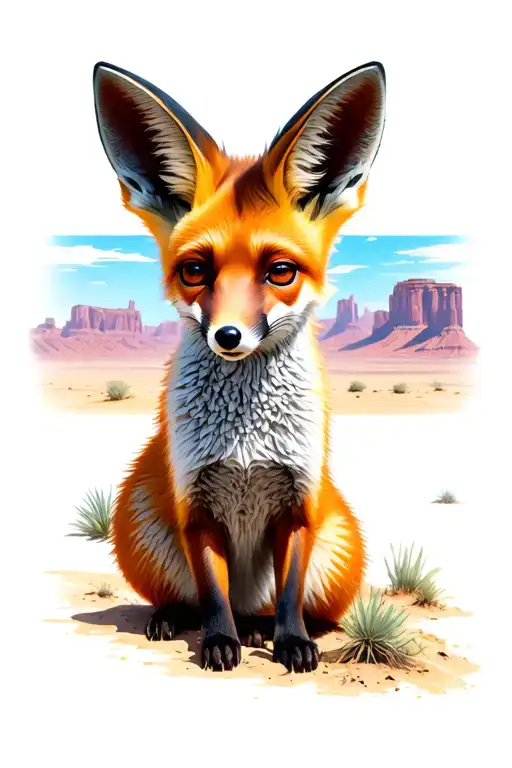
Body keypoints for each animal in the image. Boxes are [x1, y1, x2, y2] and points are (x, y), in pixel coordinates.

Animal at [93, 60, 386, 673]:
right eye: (195, 271)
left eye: (280, 271)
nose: (228, 336)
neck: (246, 447)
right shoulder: (196, 506)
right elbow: (212, 592)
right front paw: (219, 642)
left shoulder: (298, 503)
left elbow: (290, 592)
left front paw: (292, 642)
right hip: (139, 516)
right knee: (188, 596)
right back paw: (180, 619)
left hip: (338, 544)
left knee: (288, 604)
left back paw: (265, 628)